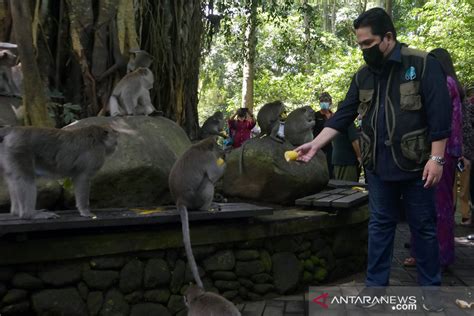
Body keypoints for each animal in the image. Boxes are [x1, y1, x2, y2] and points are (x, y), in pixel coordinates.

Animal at [0, 121, 133, 220]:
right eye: (115, 139)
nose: (116, 146)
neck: (98, 139)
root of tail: (14, 130)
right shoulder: (95, 155)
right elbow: (82, 178)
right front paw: (85, 211)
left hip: (9, 154)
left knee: (13, 178)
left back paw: (16, 212)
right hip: (20, 150)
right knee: (25, 178)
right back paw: (28, 215)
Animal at [168, 136, 226, 288]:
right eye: (218, 146)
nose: (222, 151)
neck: (201, 146)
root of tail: (180, 200)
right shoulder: (209, 158)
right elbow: (213, 175)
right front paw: (227, 159)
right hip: (196, 199)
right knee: (208, 181)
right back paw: (207, 207)